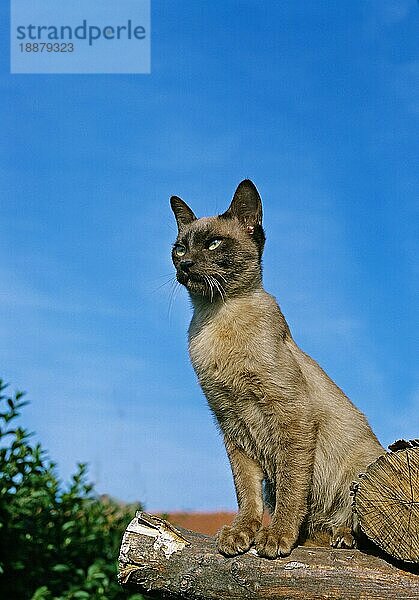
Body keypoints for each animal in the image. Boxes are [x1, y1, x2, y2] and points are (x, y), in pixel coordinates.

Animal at [170, 178, 384, 556]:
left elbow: (290, 487)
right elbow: (246, 490)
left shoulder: (292, 416)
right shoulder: (231, 425)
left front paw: (276, 537)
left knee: (354, 526)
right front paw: (243, 533)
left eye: (213, 244)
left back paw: (343, 536)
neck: (217, 318)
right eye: (180, 249)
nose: (187, 265)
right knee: (316, 527)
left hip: (360, 468)